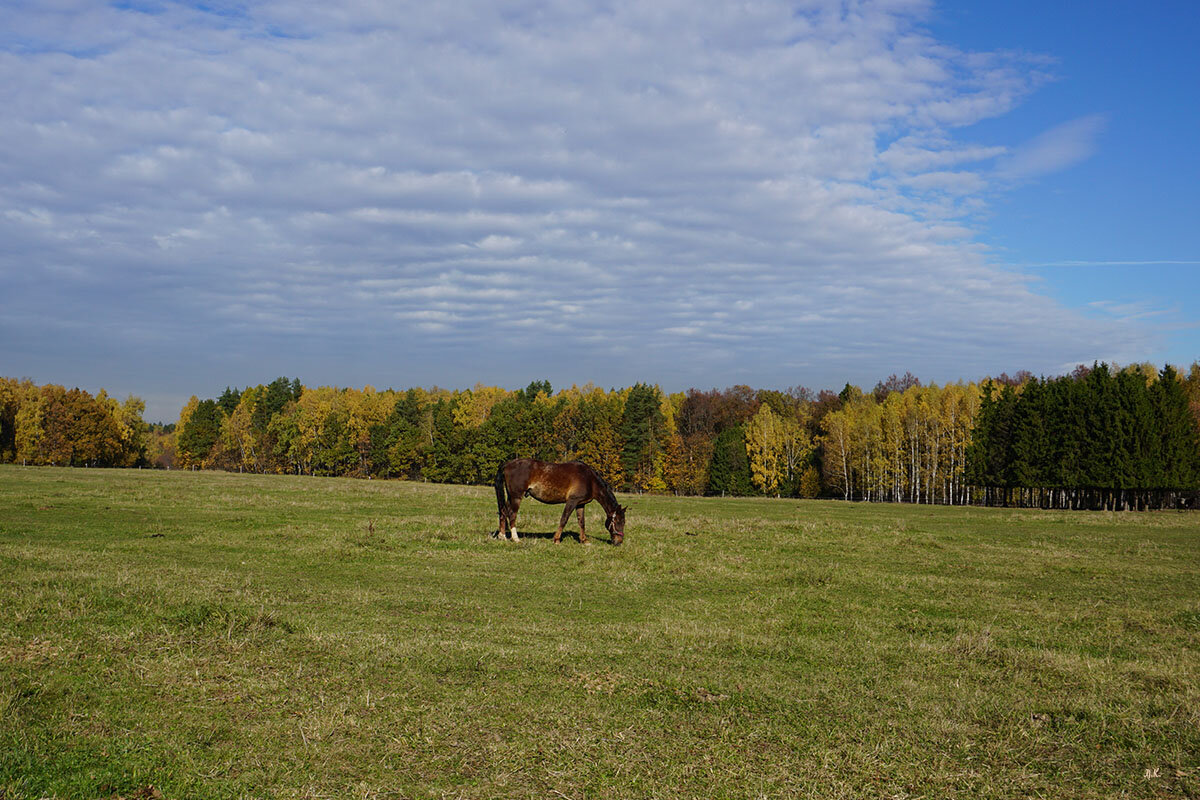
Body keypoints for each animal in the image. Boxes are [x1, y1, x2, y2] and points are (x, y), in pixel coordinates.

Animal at [494, 455, 628, 544]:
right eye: (618, 521)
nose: (619, 542)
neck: (590, 480)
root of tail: (507, 464)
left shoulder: (580, 504)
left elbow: (581, 522)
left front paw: (584, 540)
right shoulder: (572, 501)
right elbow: (564, 519)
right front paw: (557, 539)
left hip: (511, 496)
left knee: (504, 511)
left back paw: (502, 536)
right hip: (516, 497)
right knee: (512, 514)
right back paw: (515, 538)